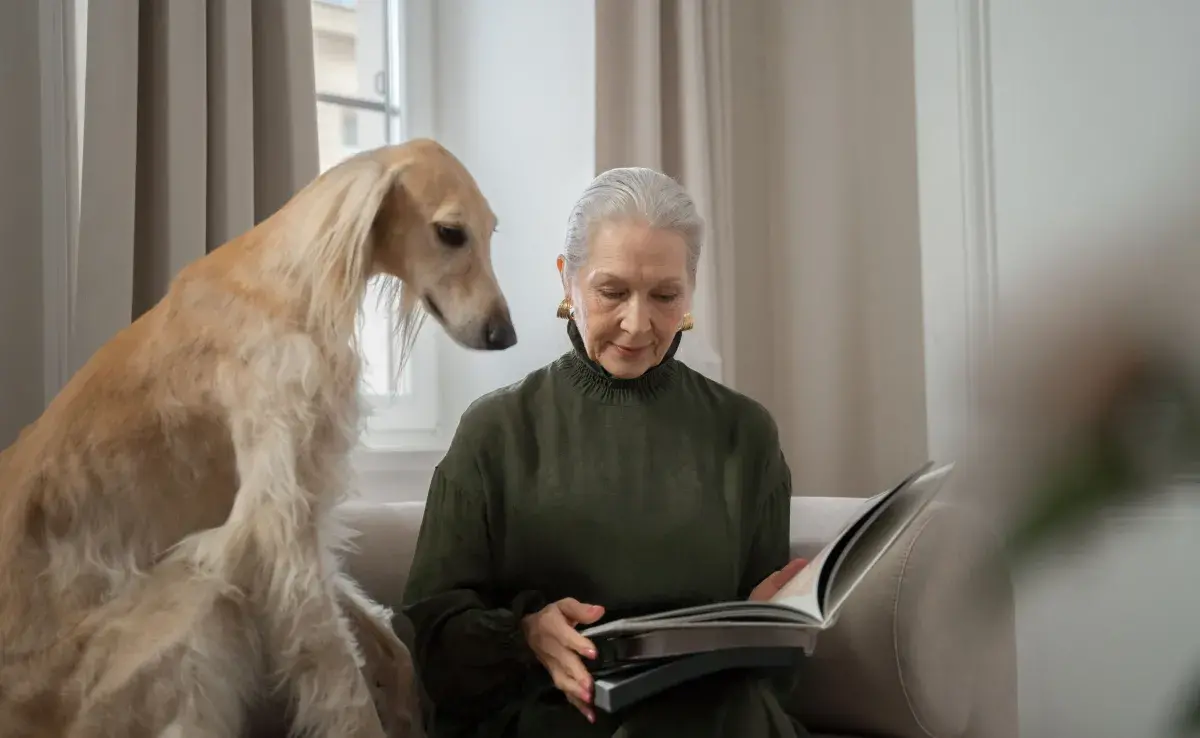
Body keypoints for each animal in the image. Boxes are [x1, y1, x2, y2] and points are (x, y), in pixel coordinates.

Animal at [0, 139, 513, 738]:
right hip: (178, 614)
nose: (506, 335)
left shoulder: (300, 511)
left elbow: (386, 643)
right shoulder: (275, 521)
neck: (287, 284)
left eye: (491, 231)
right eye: (451, 232)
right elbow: (338, 676)